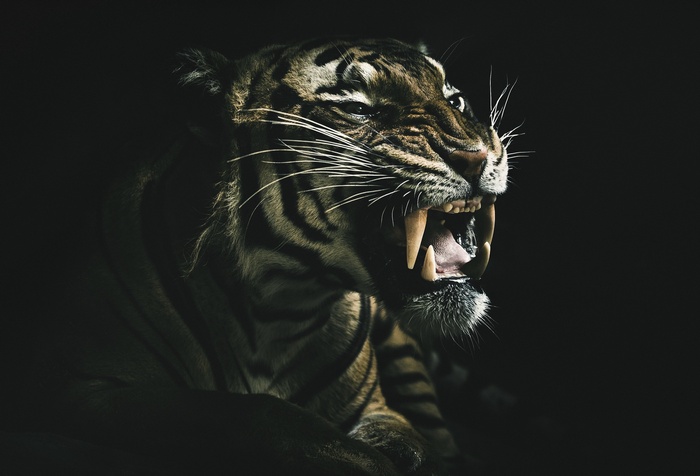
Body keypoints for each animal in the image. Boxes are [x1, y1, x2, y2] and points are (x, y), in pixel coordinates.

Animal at [12, 37, 510, 475]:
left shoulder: (376, 406)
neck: (281, 307)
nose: (478, 155)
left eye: (457, 100)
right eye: (356, 108)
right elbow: (252, 413)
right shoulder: (79, 386)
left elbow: (412, 441)